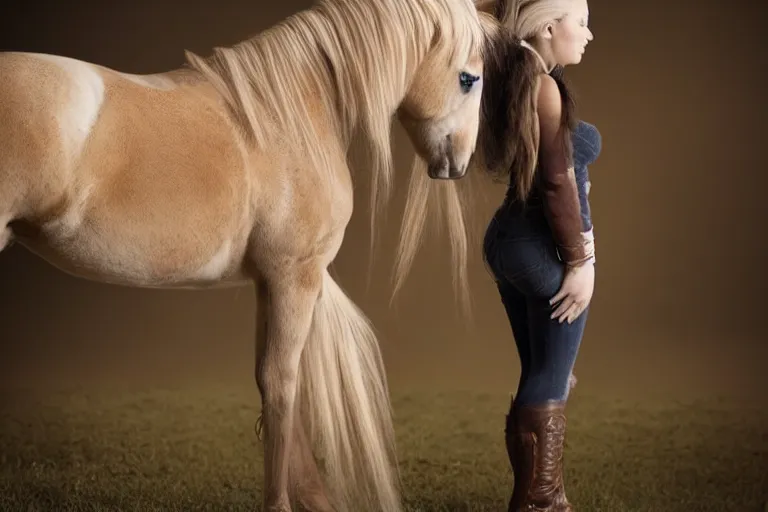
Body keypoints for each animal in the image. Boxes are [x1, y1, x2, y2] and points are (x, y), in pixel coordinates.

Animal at [0, 1, 492, 512]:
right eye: (469, 79)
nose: (458, 162)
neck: (286, 118)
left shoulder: (266, 281)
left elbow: (269, 381)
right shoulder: (295, 277)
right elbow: (282, 386)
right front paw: (280, 503)